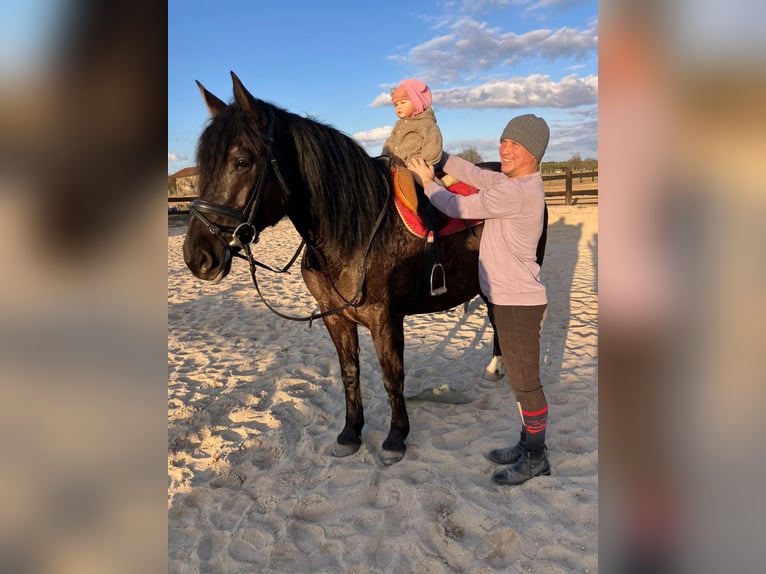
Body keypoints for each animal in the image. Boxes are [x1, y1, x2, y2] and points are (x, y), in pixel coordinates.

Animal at [183, 72, 544, 464]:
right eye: (203, 164)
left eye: (242, 161)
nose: (197, 256)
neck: (352, 234)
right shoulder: (336, 317)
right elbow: (349, 373)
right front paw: (350, 432)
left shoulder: (385, 318)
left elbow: (391, 376)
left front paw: (396, 437)